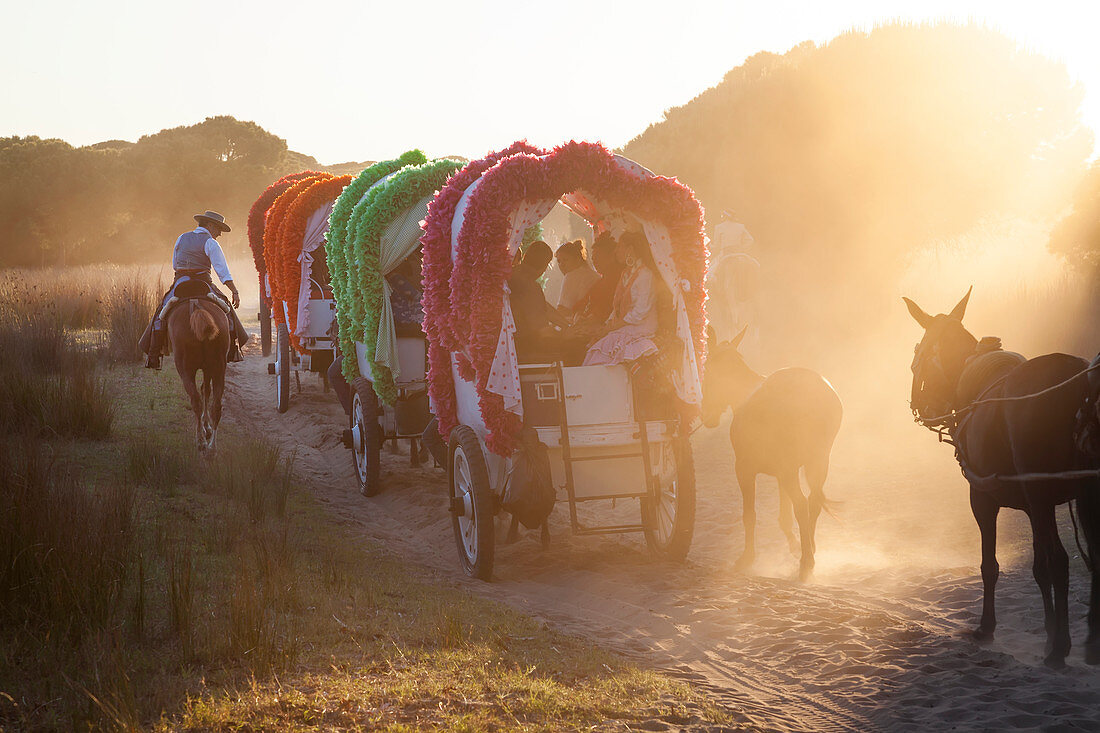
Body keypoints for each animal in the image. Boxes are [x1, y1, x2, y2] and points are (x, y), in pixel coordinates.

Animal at [165, 299, 227, 451]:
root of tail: (196, 307)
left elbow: (203, 392)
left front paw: (205, 428)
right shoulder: (208, 369)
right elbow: (206, 390)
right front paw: (207, 426)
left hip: (185, 370)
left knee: (196, 401)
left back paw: (201, 441)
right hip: (218, 368)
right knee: (216, 406)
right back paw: (212, 448)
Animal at [704, 327, 840, 581]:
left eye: (706, 369)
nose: (706, 416)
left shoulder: (745, 470)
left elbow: (750, 515)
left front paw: (747, 557)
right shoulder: (783, 472)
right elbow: (784, 516)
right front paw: (796, 545)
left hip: (790, 470)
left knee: (802, 505)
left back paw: (806, 562)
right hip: (817, 463)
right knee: (813, 503)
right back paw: (810, 550)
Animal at [902, 288, 1100, 664]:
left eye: (916, 354)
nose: (918, 406)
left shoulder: (983, 499)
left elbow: (991, 565)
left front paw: (988, 626)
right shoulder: (1034, 506)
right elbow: (1039, 569)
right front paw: (1049, 630)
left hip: (1043, 493)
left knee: (1061, 561)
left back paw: (1061, 648)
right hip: (1084, 493)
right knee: (1093, 558)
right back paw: (1089, 645)